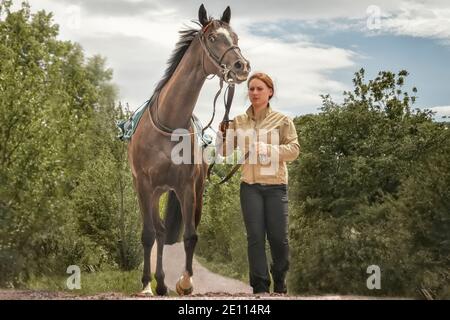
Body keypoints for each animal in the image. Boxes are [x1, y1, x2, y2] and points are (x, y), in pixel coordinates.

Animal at [128, 3, 251, 296]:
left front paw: (185, 282)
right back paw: (156, 283)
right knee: (158, 231)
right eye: (213, 37)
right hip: (154, 191)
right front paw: (145, 286)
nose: (241, 66)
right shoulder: (144, 185)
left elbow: (190, 236)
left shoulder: (187, 187)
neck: (170, 121)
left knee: (166, 231)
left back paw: (163, 282)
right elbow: (147, 234)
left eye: (235, 37)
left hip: (183, 190)